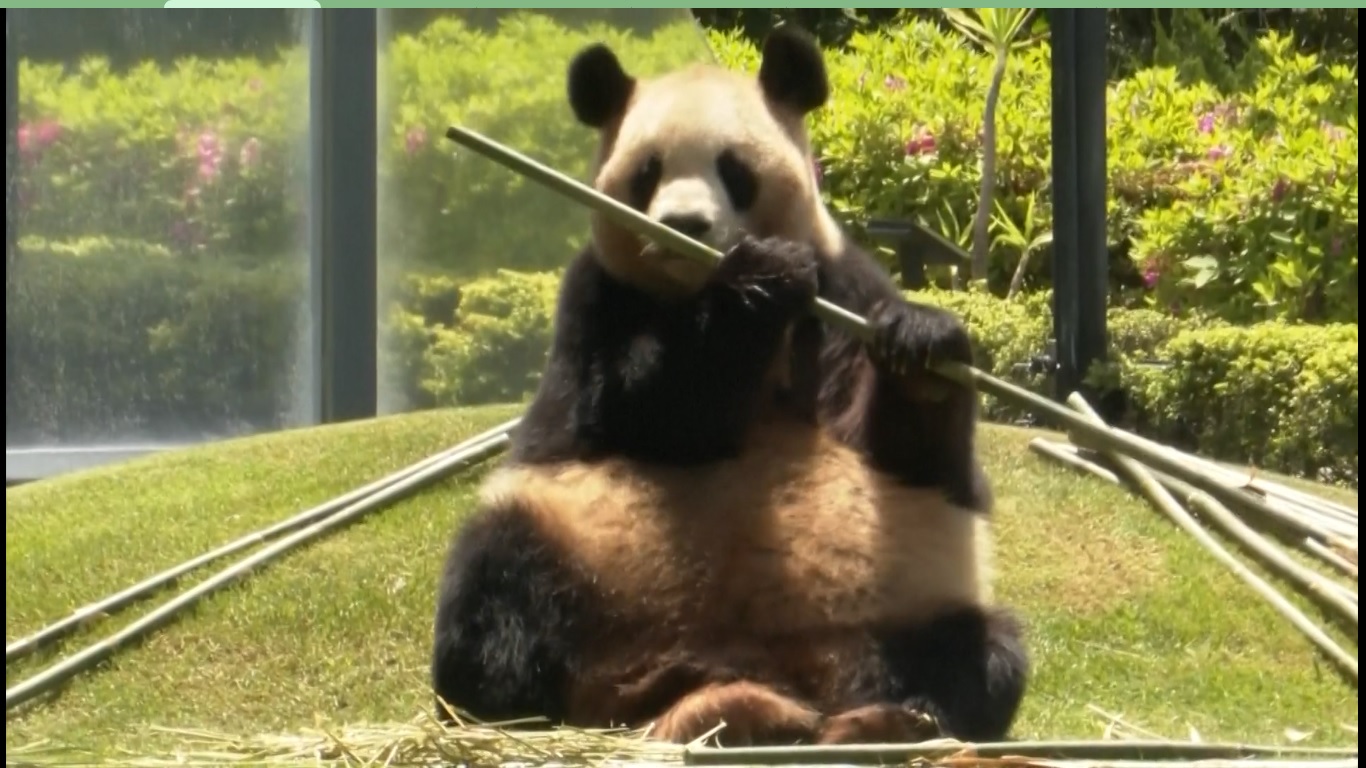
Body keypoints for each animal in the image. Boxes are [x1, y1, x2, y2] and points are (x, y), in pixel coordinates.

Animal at [430, 26, 1029, 747]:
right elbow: (648, 407)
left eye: (732, 169)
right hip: (575, 557)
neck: (694, 284)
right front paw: (760, 279)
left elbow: (904, 450)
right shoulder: (595, 302)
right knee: (495, 600)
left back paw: (889, 718)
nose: (684, 225)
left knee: (982, 651)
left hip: (900, 606)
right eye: (648, 172)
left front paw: (921, 343)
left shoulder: (845, 291)